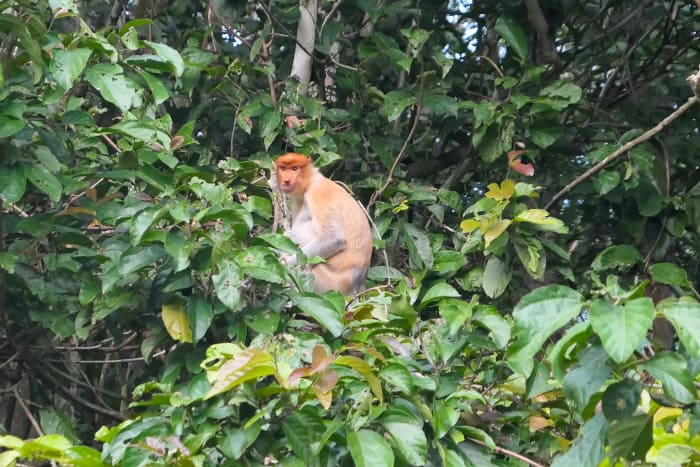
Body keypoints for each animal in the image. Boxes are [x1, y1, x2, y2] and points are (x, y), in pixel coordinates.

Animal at [274, 154, 372, 294]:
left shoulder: (317, 193)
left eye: (294, 168)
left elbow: (334, 239)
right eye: (283, 168)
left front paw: (282, 265)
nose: (286, 180)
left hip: (329, 283)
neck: (310, 181)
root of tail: (357, 285)